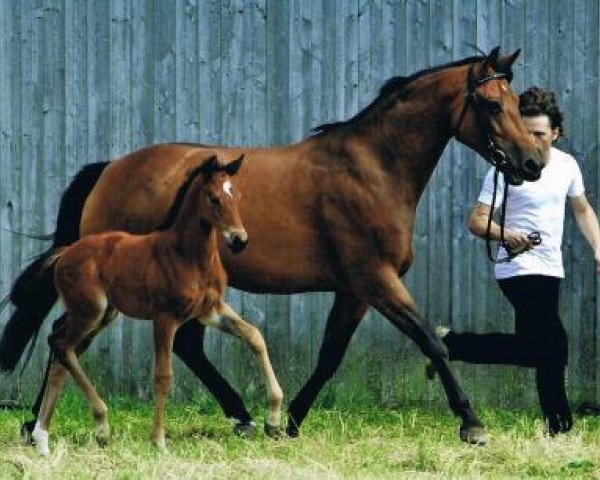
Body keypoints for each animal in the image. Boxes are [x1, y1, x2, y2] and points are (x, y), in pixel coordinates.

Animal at [26, 156, 284, 456]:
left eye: (238, 196)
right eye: (213, 198)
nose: (239, 240)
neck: (187, 256)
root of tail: (66, 252)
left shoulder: (211, 310)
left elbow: (255, 336)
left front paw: (273, 419)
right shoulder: (165, 318)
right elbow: (163, 375)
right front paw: (158, 440)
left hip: (102, 316)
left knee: (61, 352)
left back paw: (45, 438)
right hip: (88, 313)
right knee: (61, 345)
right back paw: (99, 425)